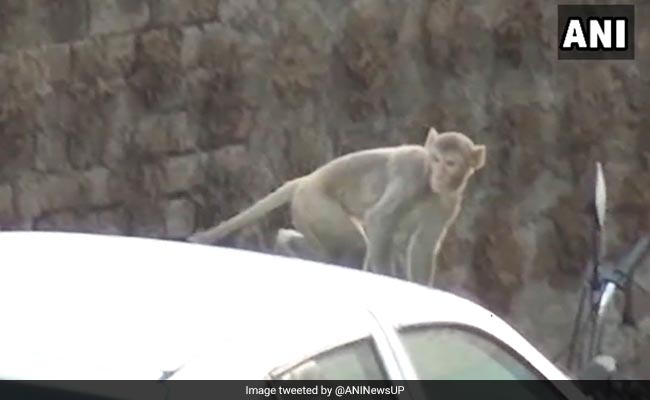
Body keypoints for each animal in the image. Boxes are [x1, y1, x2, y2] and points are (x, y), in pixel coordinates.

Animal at [188, 127, 485, 280]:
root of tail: (306, 179)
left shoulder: (448, 203)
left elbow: (423, 246)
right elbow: (380, 220)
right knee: (357, 245)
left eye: (450, 163)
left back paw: (286, 243)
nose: (439, 175)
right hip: (315, 205)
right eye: (435, 160)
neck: (432, 188)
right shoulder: (411, 172)